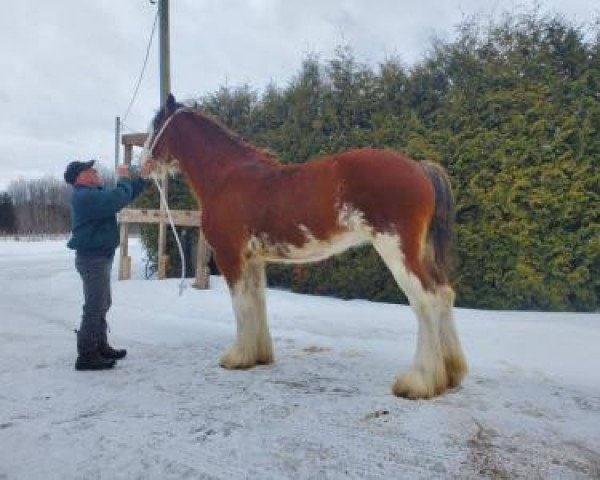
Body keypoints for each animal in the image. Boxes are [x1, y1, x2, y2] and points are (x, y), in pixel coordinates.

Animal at [143, 93, 466, 398]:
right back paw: (450, 374)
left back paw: (418, 382)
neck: (227, 176)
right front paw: (258, 356)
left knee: (426, 300)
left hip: (397, 250)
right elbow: (256, 303)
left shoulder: (229, 256)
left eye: (156, 125)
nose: (144, 164)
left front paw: (236, 358)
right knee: (444, 295)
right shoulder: (253, 260)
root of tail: (420, 168)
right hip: (422, 253)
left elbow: (241, 306)